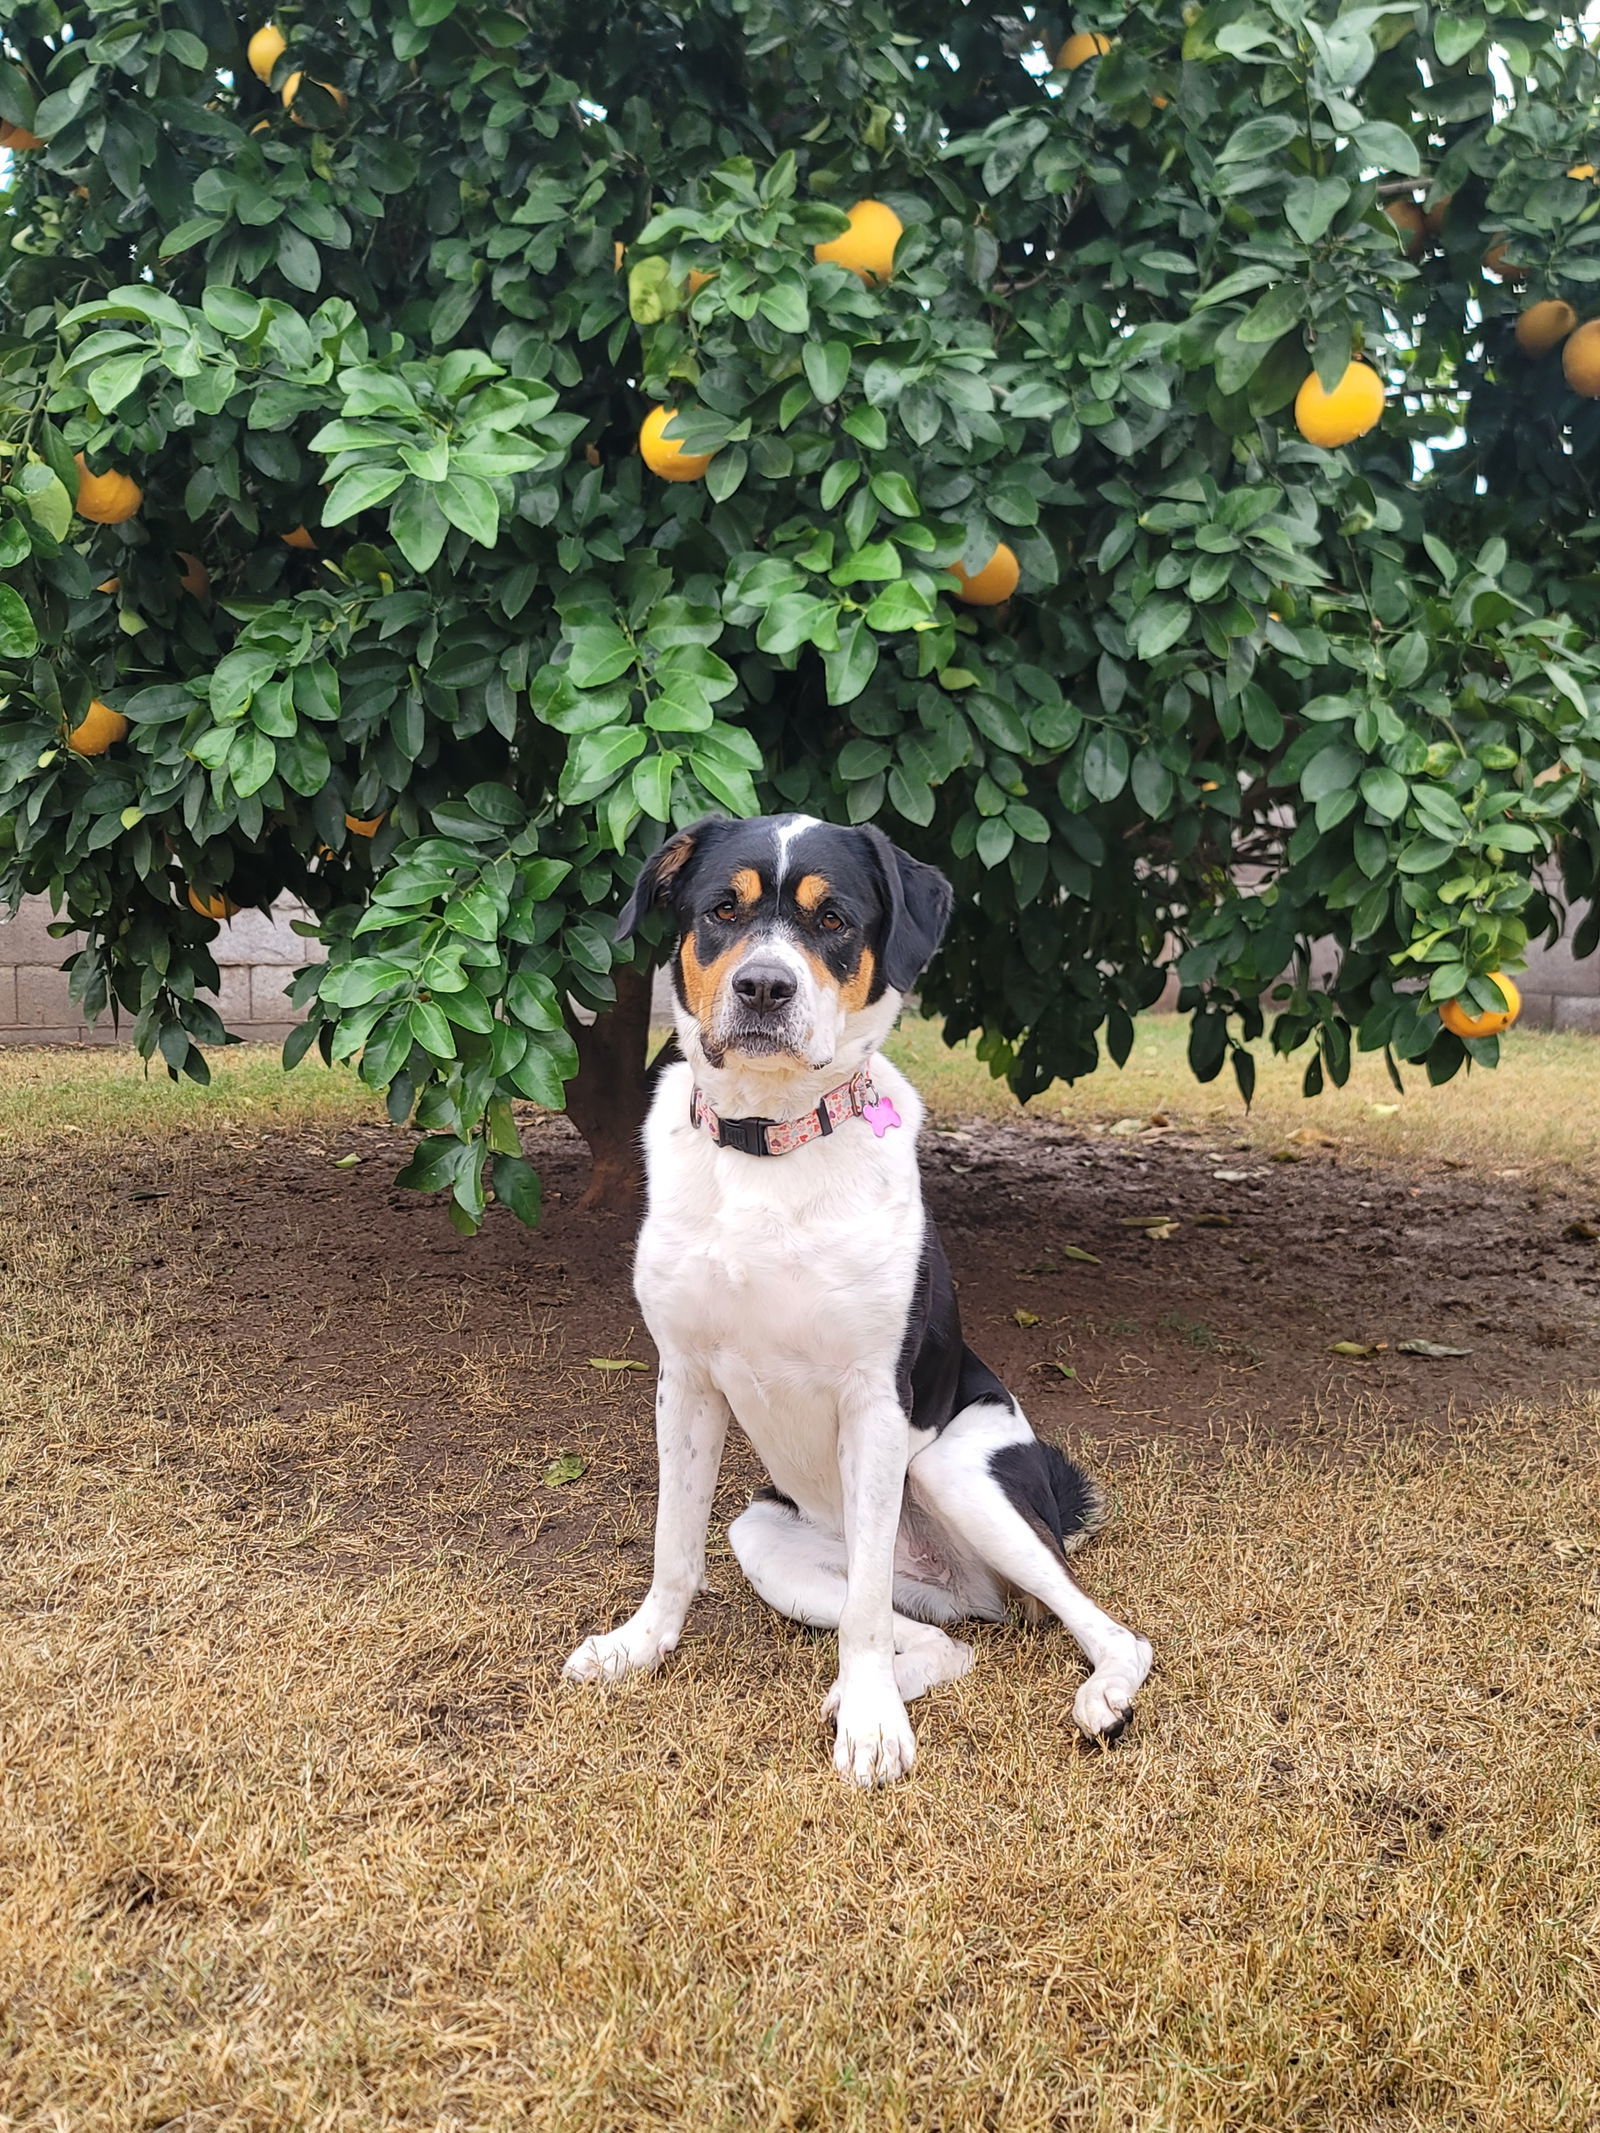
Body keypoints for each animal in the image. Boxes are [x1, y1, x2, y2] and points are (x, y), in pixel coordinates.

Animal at [563, 814, 1152, 1783]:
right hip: (765, 1536)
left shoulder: (875, 1402)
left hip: (955, 1470)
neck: (768, 1144)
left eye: (833, 919)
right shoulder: (684, 1380)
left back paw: (1095, 1695)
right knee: (948, 1643)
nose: (765, 987)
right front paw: (640, 1645)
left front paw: (875, 1727)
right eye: (722, 909)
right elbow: (674, 1544)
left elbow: (868, 1608)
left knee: (1106, 1630)